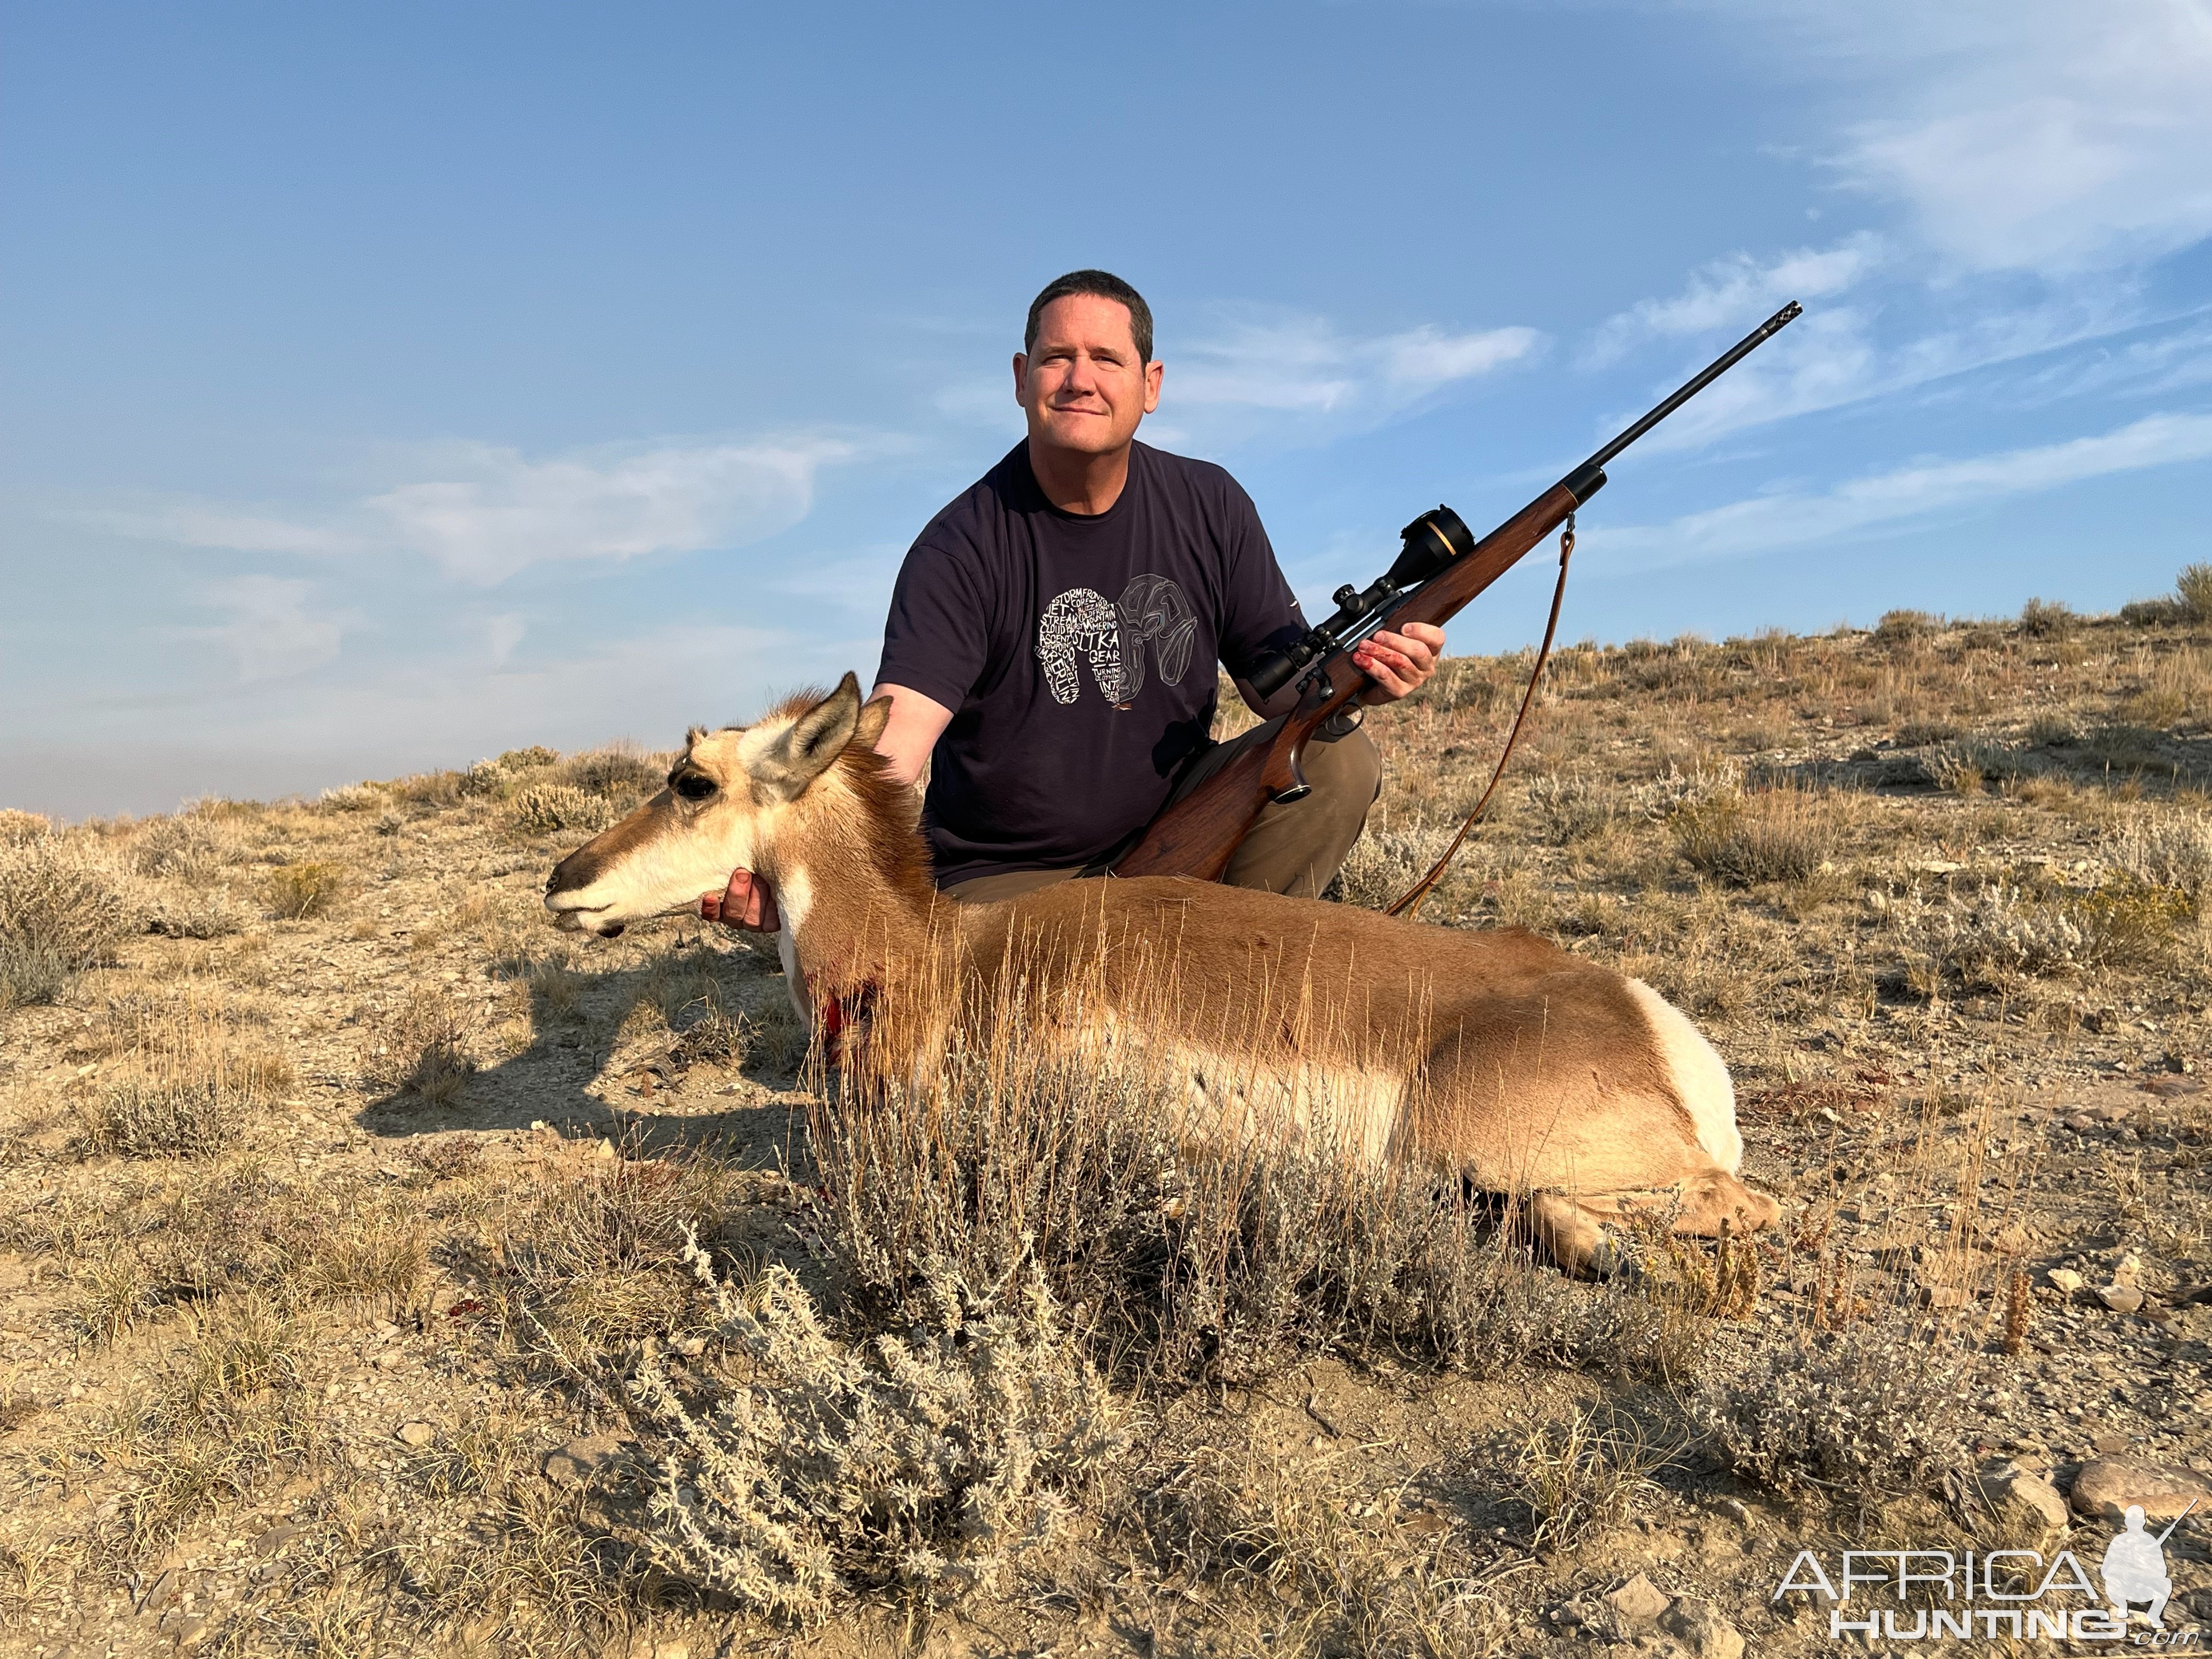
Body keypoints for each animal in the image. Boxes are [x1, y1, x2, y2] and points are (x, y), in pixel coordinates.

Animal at [548, 676, 1778, 1274]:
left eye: (692, 778)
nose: (564, 879)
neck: (946, 961)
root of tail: (1647, 1018)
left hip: (1472, 1139)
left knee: (1739, 1206)